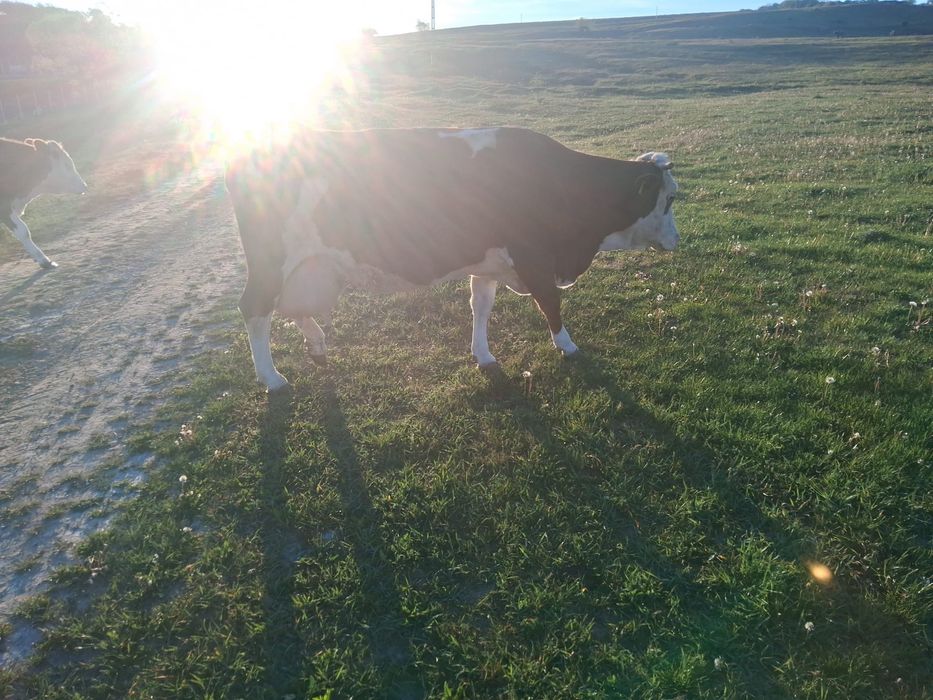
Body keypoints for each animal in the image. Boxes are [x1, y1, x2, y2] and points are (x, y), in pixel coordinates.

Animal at [226, 127, 679, 391]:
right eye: (671, 198)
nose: (676, 239)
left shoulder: (489, 262)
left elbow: (481, 306)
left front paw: (484, 355)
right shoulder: (534, 257)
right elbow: (550, 303)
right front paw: (568, 346)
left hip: (311, 265)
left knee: (292, 305)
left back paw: (317, 345)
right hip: (272, 259)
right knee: (256, 308)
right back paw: (272, 377)